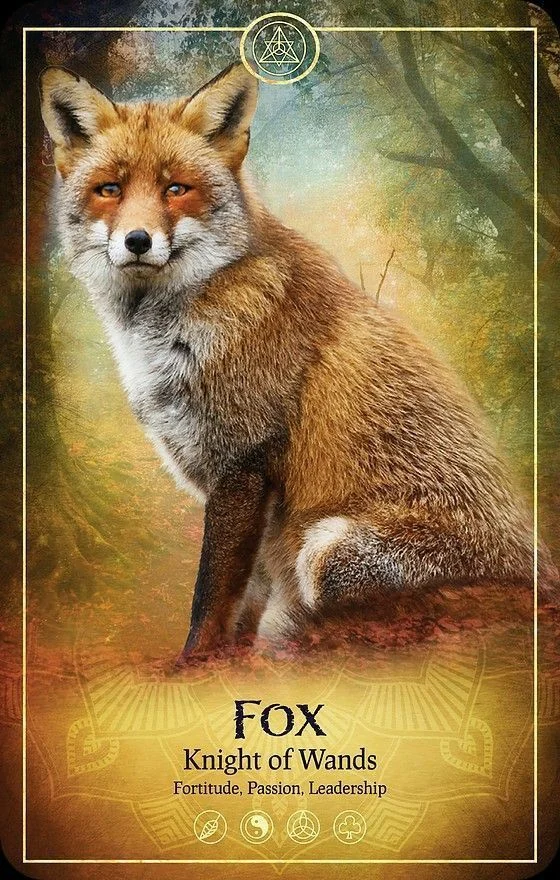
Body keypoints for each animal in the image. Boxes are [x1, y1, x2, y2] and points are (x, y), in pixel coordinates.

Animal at [39, 62, 545, 661]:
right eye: (110, 189)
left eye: (176, 189)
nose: (137, 240)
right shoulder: (245, 488)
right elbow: (242, 597)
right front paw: (225, 660)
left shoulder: (243, 464)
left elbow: (209, 597)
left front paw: (194, 665)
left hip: (329, 552)